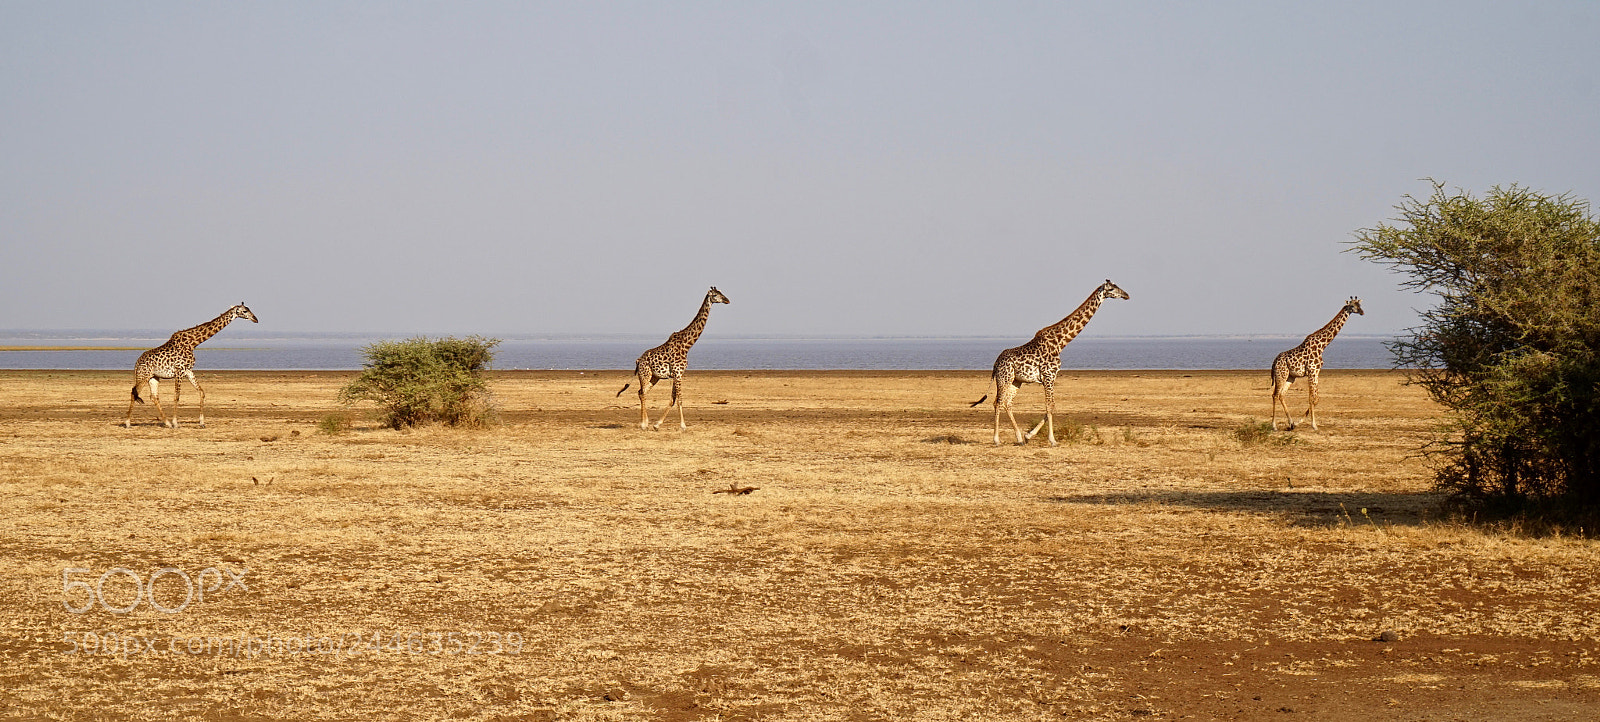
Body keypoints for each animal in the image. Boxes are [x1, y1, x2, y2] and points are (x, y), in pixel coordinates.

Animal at [124, 302, 259, 429]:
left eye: (249, 309)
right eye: (245, 311)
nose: (256, 319)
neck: (193, 343)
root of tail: (136, 363)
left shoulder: (188, 371)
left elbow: (201, 392)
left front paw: (202, 423)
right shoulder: (179, 371)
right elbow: (177, 396)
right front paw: (176, 423)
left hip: (153, 377)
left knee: (154, 397)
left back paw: (167, 423)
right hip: (143, 376)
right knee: (133, 392)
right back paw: (128, 423)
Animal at [615, 287, 730, 430]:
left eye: (721, 292)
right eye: (715, 295)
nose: (727, 300)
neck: (687, 345)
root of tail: (638, 361)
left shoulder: (678, 374)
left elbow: (672, 399)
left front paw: (657, 424)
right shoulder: (678, 373)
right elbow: (679, 399)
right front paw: (683, 426)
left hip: (654, 377)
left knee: (641, 392)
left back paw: (646, 423)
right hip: (645, 374)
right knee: (642, 392)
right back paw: (643, 424)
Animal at [970, 280, 1130, 446]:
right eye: (1112, 289)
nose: (1126, 295)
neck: (1060, 343)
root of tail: (995, 364)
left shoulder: (1050, 377)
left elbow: (1051, 406)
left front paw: (1029, 435)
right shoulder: (1049, 376)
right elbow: (1050, 405)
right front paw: (1052, 440)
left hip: (1016, 381)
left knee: (1008, 403)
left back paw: (1019, 438)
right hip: (1004, 378)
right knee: (998, 402)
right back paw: (996, 440)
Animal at [1271, 297, 1364, 431]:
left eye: (1359, 305)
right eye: (1352, 306)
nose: (1362, 312)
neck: (1323, 345)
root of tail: (1274, 363)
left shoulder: (1316, 372)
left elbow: (1317, 399)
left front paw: (1299, 422)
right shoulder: (1311, 371)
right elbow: (1311, 398)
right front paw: (1314, 425)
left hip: (1290, 377)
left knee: (1281, 395)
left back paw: (1291, 423)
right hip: (1281, 375)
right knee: (1275, 395)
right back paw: (1274, 426)